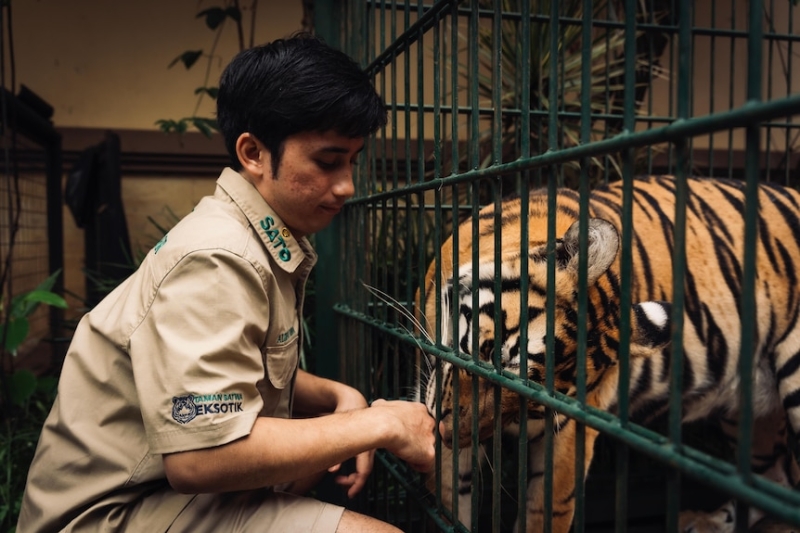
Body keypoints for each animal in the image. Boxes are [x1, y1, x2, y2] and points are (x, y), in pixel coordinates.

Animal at [416, 176, 800, 532]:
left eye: (531, 408)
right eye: (494, 355)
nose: (448, 435)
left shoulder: (571, 430)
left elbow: (546, 509)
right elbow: (451, 498)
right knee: (774, 479)